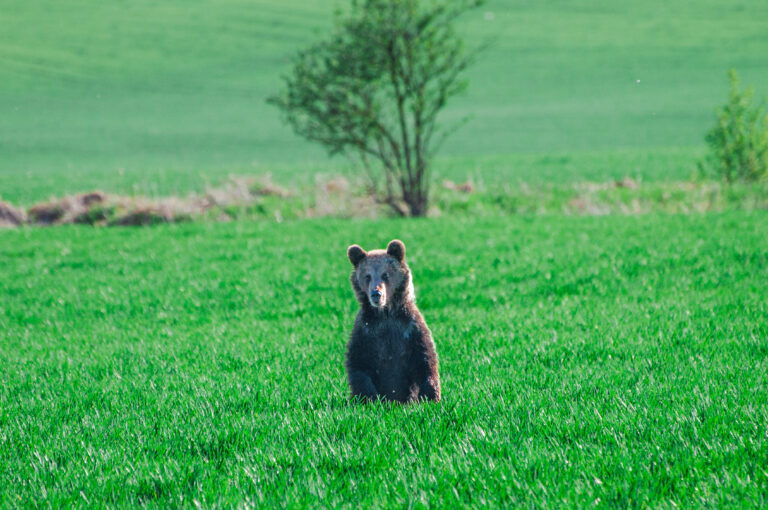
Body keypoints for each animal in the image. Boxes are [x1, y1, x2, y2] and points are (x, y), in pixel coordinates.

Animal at [344, 239, 440, 402]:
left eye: (385, 275)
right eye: (367, 276)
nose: (376, 294)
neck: (386, 313)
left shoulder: (410, 327)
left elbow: (425, 358)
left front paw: (430, 397)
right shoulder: (365, 330)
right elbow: (358, 362)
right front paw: (369, 398)